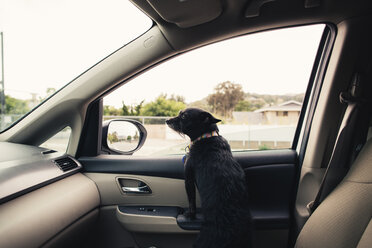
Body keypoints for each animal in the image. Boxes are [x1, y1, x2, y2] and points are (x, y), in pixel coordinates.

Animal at [166, 108, 251, 248]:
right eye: (179, 113)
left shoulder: (188, 179)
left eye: (183, 116)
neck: (206, 137)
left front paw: (190, 215)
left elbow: (191, 201)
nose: (167, 120)